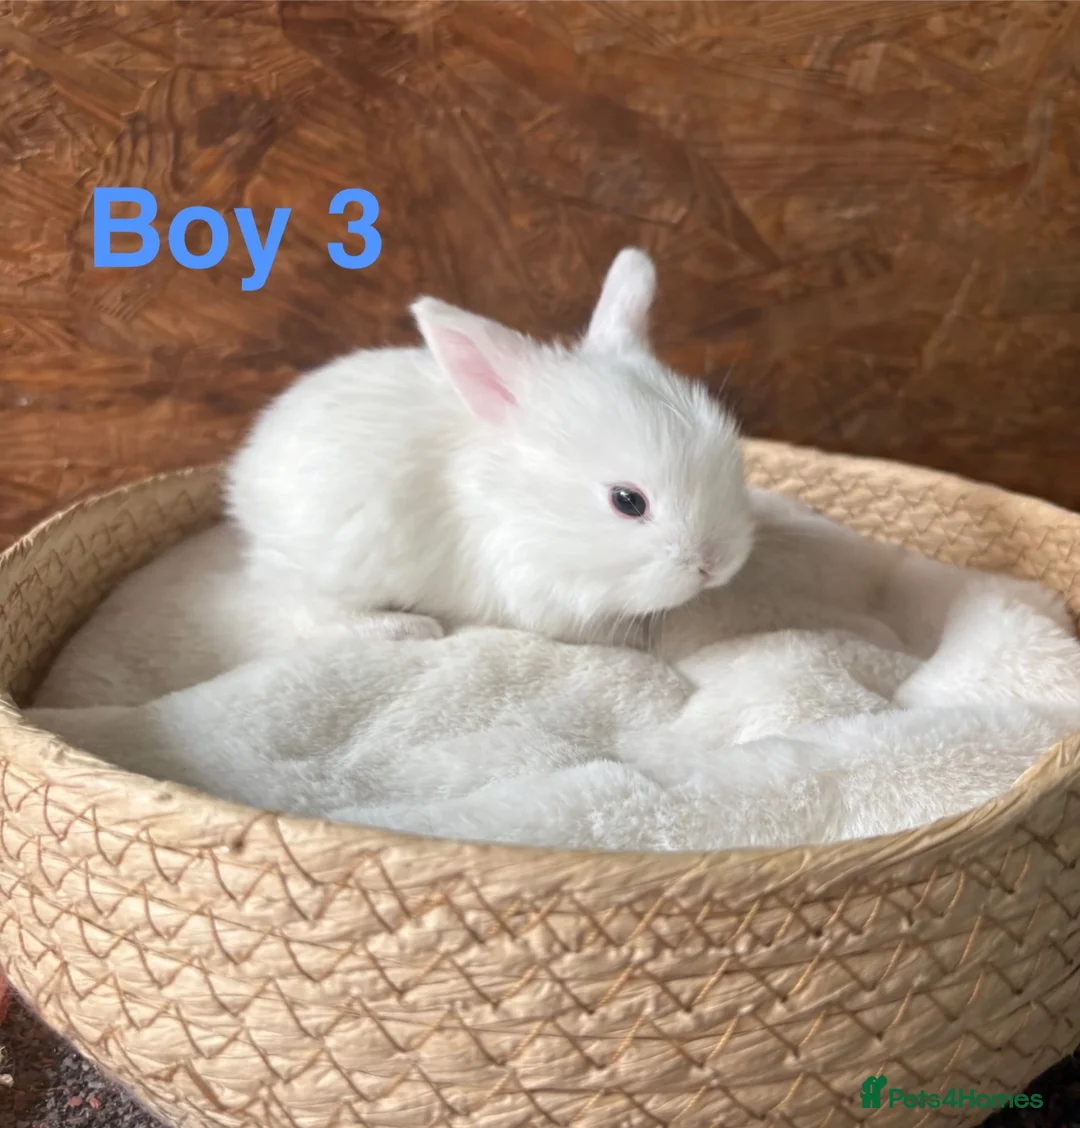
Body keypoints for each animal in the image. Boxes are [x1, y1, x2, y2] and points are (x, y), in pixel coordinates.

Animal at [225, 247, 756, 648]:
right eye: (628, 501)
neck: (524, 503)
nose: (717, 564)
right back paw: (405, 627)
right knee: (301, 613)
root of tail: (245, 476)